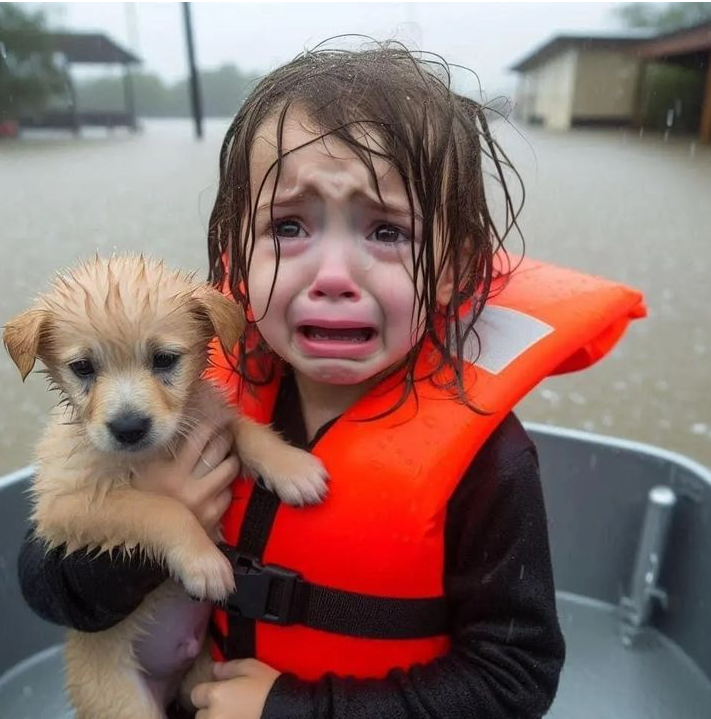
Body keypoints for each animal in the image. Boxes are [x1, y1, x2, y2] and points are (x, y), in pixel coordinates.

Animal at [4, 256, 328, 716]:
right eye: (83, 367)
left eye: (164, 359)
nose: (128, 428)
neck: (153, 452)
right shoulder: (66, 504)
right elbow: (158, 508)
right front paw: (204, 562)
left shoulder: (208, 416)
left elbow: (246, 428)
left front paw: (293, 467)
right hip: (125, 702)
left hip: (201, 673)